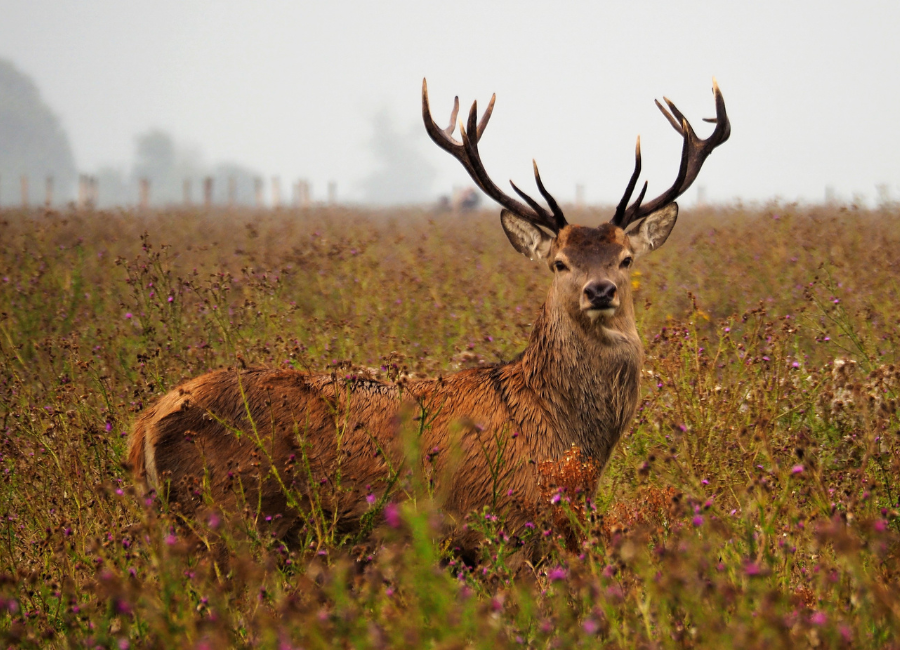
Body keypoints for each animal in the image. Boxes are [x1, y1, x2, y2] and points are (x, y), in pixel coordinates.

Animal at [128, 78, 732, 548]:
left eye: (625, 257)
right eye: (559, 262)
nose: (600, 290)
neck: (564, 436)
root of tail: (146, 426)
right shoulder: (502, 522)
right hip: (227, 513)